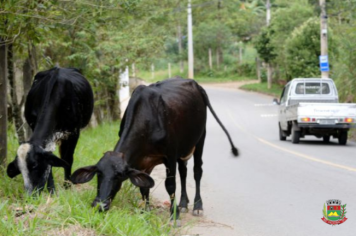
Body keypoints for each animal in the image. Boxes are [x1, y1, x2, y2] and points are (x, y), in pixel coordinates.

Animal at [6, 67, 94, 195]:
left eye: (35, 166)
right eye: (20, 169)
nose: (30, 194)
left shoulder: (74, 132)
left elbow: (68, 159)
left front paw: (67, 186)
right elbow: (50, 162)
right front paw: (52, 190)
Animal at [71, 78, 238, 221]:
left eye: (119, 176)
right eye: (98, 173)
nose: (100, 205)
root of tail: (196, 84)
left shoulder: (170, 156)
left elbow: (170, 186)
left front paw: (174, 216)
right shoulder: (144, 161)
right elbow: (144, 187)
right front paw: (146, 213)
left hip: (200, 139)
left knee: (197, 171)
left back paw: (197, 206)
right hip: (183, 148)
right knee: (183, 172)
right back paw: (184, 204)